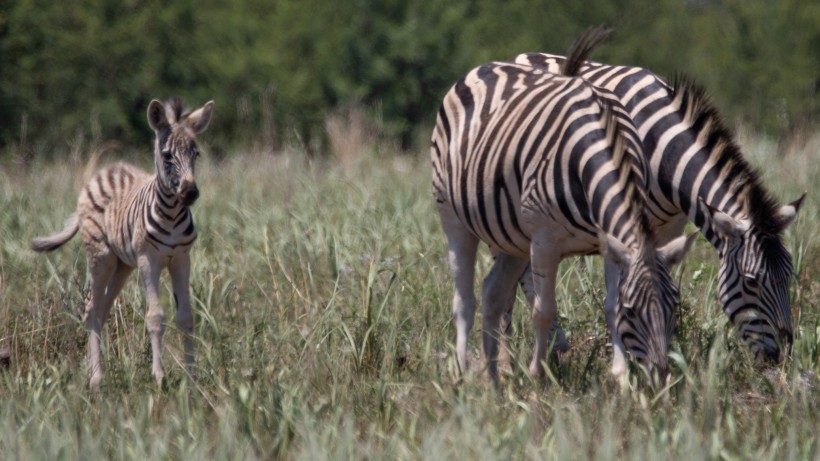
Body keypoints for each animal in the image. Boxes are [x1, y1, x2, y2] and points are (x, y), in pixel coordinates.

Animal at [32, 97, 215, 388]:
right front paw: (159, 377)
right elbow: (155, 316)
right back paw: (96, 379)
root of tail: (105, 171)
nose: (190, 193)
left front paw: (192, 378)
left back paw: (94, 371)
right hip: (101, 257)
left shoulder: (181, 259)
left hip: (122, 265)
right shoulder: (149, 260)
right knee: (91, 310)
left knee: (102, 310)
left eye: (195, 154)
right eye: (167, 155)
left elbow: (186, 317)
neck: (173, 214)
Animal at [430, 45, 692, 380]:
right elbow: (544, 311)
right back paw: (463, 372)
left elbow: (609, 305)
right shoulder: (545, 241)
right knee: (464, 300)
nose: (660, 376)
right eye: (632, 311)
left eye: (675, 305)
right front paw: (538, 374)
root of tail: (481, 67)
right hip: (452, 216)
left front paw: (620, 377)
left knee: (493, 292)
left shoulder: (610, 239)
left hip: (512, 236)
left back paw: (494, 375)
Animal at [502, 29, 804, 366]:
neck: (663, 151)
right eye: (752, 281)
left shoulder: (671, 225)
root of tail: (522, 55)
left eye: (789, 275)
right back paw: (547, 344)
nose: (782, 357)